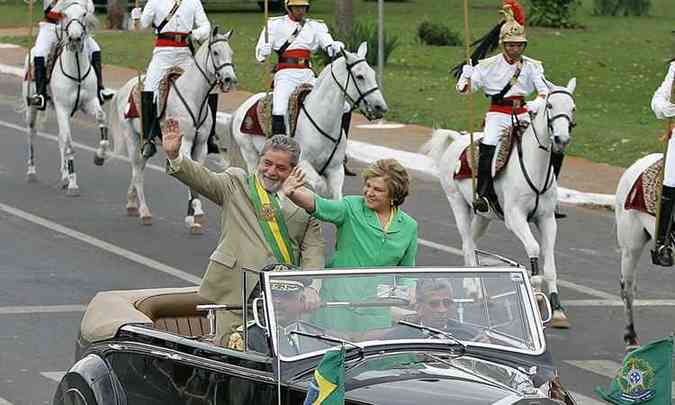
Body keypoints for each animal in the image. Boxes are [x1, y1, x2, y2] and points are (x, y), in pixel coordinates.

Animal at [21, 0, 107, 194]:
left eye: (84, 14)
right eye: (65, 14)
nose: (74, 38)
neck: (76, 68)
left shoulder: (89, 103)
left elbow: (101, 119)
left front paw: (100, 156)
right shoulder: (62, 108)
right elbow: (69, 145)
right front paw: (73, 184)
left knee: (61, 137)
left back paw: (64, 176)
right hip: (32, 109)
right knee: (32, 134)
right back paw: (31, 172)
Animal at [109, 27, 238, 230]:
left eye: (230, 52)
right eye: (216, 52)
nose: (229, 79)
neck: (194, 96)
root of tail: (123, 89)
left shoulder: (201, 146)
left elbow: (197, 174)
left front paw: (192, 215)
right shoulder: (184, 143)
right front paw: (196, 213)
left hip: (145, 146)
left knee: (139, 169)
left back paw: (131, 202)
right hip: (132, 138)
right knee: (137, 172)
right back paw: (144, 211)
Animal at [231, 41, 386, 198]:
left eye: (373, 74)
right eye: (360, 76)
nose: (380, 107)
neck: (323, 121)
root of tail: (243, 106)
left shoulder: (336, 170)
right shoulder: (303, 165)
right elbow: (320, 186)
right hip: (251, 156)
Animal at [422, 79, 576, 328]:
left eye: (572, 107)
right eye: (550, 105)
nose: (561, 140)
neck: (534, 166)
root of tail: (457, 140)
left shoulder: (547, 219)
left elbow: (550, 262)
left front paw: (558, 309)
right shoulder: (515, 218)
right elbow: (534, 248)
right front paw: (535, 291)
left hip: (483, 216)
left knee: (471, 243)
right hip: (457, 203)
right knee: (467, 243)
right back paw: (474, 289)